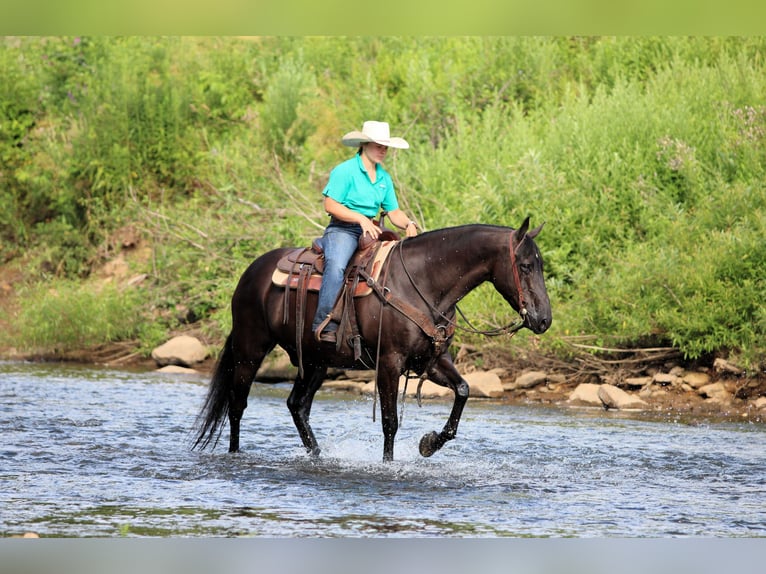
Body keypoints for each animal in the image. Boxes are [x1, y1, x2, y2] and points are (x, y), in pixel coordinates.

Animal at [193, 217, 552, 461]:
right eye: (525, 265)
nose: (544, 319)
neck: (423, 282)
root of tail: (251, 271)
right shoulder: (389, 362)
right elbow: (390, 421)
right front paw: (388, 464)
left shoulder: (431, 361)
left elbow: (462, 391)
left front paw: (429, 444)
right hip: (250, 349)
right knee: (237, 403)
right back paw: (236, 455)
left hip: (316, 361)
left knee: (297, 405)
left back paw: (318, 455)